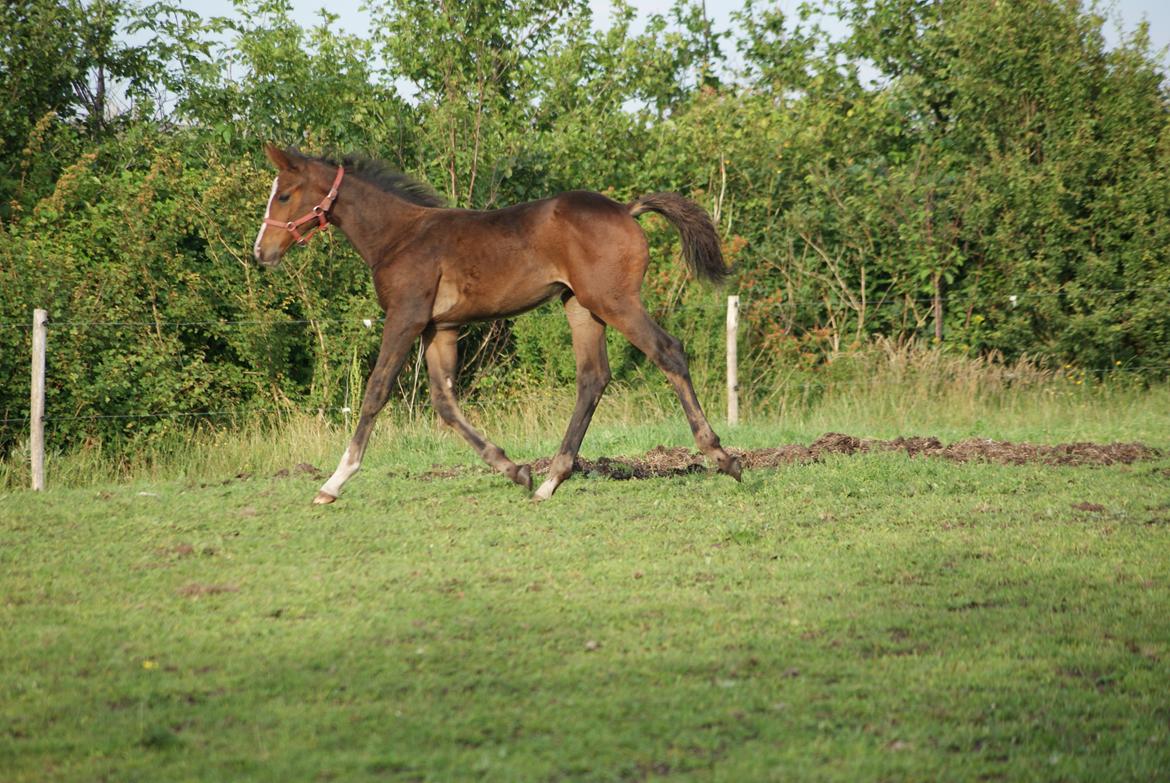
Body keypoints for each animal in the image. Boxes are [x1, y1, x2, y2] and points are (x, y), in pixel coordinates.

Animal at [253, 143, 739, 503]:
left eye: (284, 195)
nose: (261, 252)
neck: (399, 236)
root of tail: (626, 208)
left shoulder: (405, 317)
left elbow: (375, 392)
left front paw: (334, 482)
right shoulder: (440, 329)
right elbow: (445, 404)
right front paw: (516, 470)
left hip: (614, 300)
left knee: (667, 351)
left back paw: (722, 457)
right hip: (581, 307)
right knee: (593, 378)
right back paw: (549, 481)